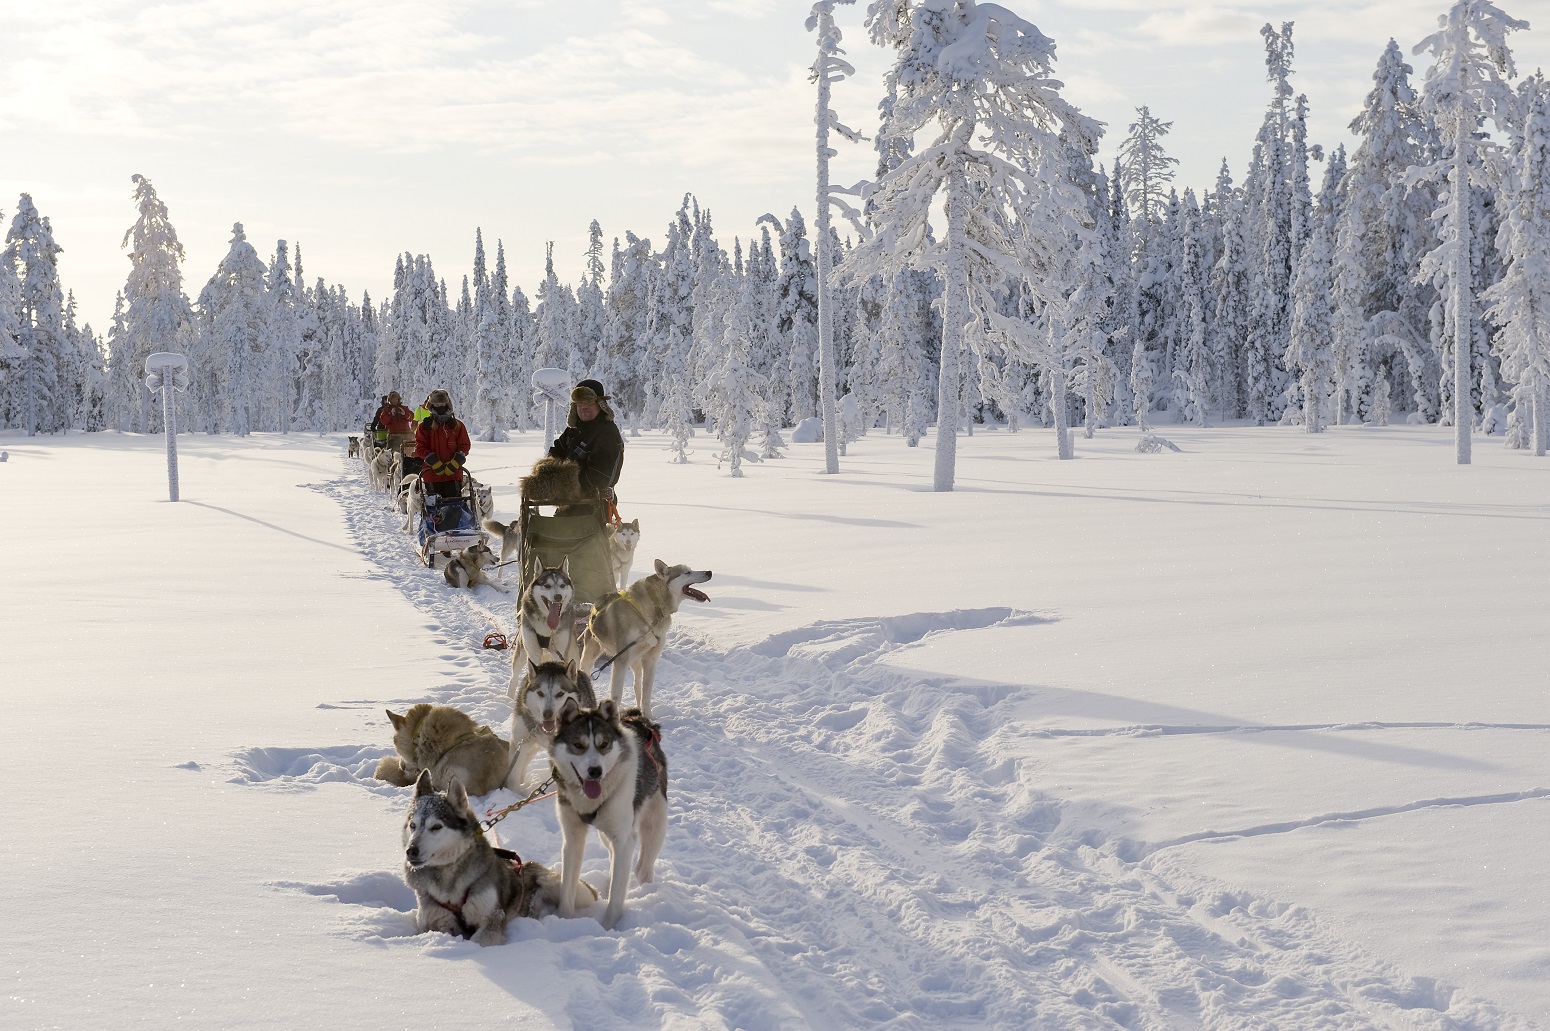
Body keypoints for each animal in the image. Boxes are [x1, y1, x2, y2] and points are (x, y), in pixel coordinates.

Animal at [399, 768, 592, 942]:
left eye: (436, 827)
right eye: (413, 825)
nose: (411, 851)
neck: (448, 882)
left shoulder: (492, 917)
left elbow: (478, 939)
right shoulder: (434, 921)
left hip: (560, 886)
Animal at [548, 694, 663, 930]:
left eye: (604, 745)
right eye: (578, 745)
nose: (595, 771)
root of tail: (639, 719)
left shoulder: (625, 839)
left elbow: (616, 898)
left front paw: (609, 929)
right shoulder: (573, 837)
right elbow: (567, 886)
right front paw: (564, 922)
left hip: (655, 824)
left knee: (643, 867)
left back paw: (646, 889)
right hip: (606, 834)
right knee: (613, 857)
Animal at [582, 558, 713, 719]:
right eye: (687, 572)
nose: (709, 572)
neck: (648, 614)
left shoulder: (650, 660)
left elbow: (646, 693)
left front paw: (648, 716)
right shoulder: (620, 661)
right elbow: (616, 696)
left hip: (636, 662)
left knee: (637, 685)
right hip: (590, 655)